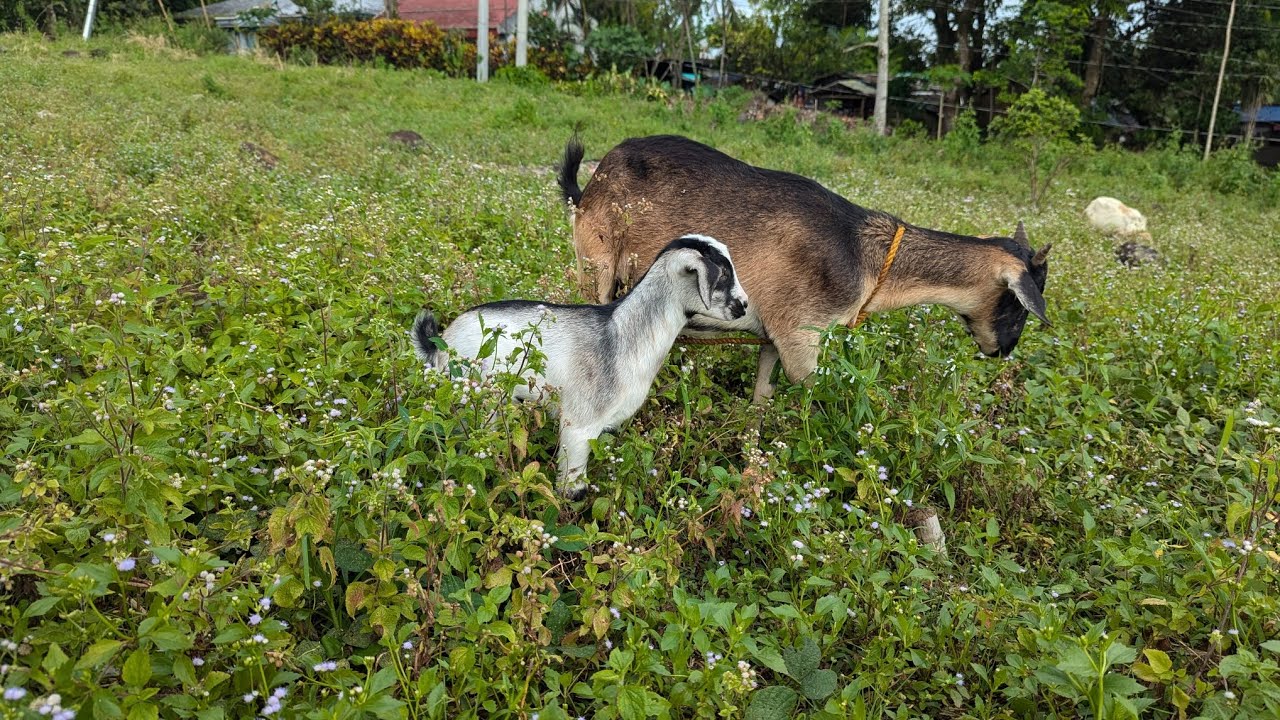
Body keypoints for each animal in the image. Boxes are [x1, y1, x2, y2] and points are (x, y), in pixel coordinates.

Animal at [411, 235, 749, 498]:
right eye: (722, 274)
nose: (744, 306)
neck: (622, 336)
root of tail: (439, 343)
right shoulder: (579, 425)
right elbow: (572, 491)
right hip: (478, 403)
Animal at [557, 134, 1051, 403]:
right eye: (1021, 304)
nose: (1004, 351)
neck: (865, 256)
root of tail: (590, 185)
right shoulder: (802, 335)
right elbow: (812, 395)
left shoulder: (774, 332)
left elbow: (761, 395)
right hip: (597, 263)